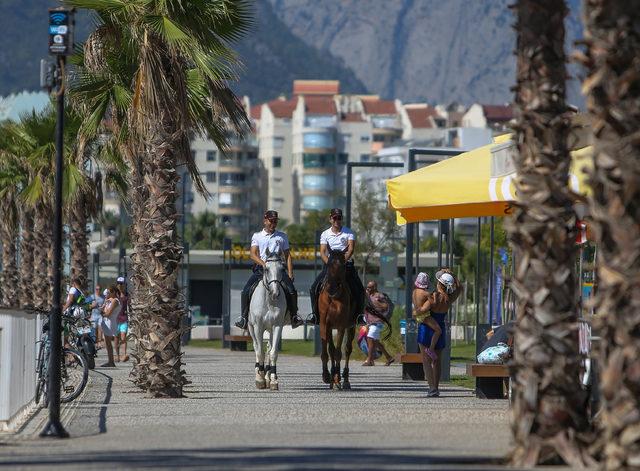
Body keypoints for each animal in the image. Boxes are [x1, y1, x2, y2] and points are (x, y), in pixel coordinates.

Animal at [246, 251, 286, 390]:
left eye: (282, 269)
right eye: (266, 269)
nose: (275, 293)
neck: (269, 301)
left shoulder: (277, 326)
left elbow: (273, 352)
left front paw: (273, 381)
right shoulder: (258, 327)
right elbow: (260, 351)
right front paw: (260, 379)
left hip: (270, 329)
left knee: (269, 348)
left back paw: (268, 376)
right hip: (251, 327)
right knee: (256, 346)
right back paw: (260, 373)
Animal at [318, 249, 358, 390]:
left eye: (342, 266)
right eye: (329, 264)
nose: (332, 289)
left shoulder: (341, 326)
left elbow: (337, 353)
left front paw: (336, 379)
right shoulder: (325, 324)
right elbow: (327, 351)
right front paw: (327, 376)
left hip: (351, 327)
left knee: (347, 350)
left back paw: (344, 380)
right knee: (332, 349)